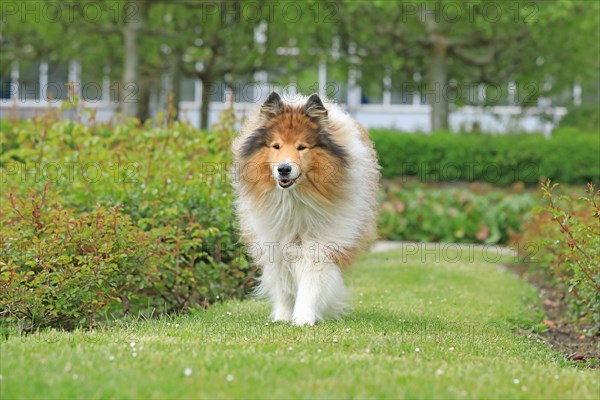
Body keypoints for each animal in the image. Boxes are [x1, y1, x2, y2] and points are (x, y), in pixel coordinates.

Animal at [231, 92, 378, 326]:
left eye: (302, 147)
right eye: (276, 146)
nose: (284, 169)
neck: (294, 199)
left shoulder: (322, 242)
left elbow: (312, 280)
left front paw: (303, 318)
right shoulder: (274, 241)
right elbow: (282, 282)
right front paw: (282, 317)